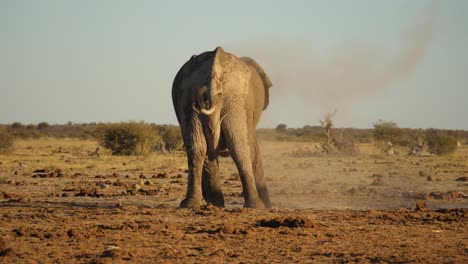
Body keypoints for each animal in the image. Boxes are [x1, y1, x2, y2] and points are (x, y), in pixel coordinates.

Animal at [171, 47, 274, 208]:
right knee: (239, 148)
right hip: (235, 99)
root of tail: (215, 66)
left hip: (189, 97)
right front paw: (268, 206)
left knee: (198, 148)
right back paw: (255, 205)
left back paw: (192, 204)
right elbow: (253, 150)